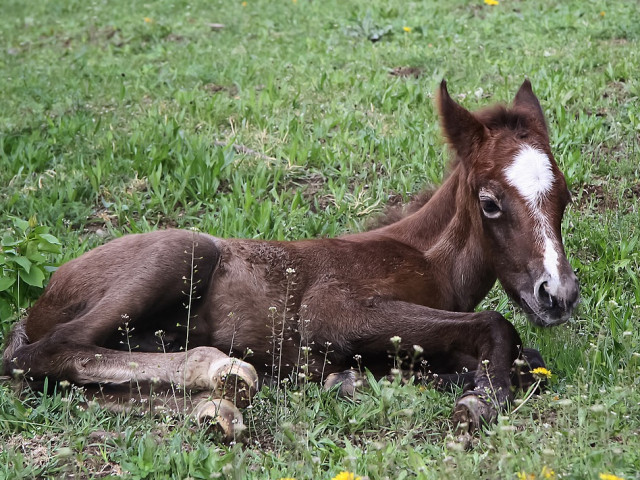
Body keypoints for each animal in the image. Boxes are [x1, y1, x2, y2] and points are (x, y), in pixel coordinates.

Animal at [2, 79, 580, 438]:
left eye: (565, 196)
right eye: (490, 202)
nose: (558, 295)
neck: (426, 258)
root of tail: (42, 299)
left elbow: (523, 359)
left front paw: (363, 379)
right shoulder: (330, 311)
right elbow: (497, 325)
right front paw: (479, 398)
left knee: (70, 386)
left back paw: (217, 407)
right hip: (183, 251)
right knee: (45, 354)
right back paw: (219, 369)